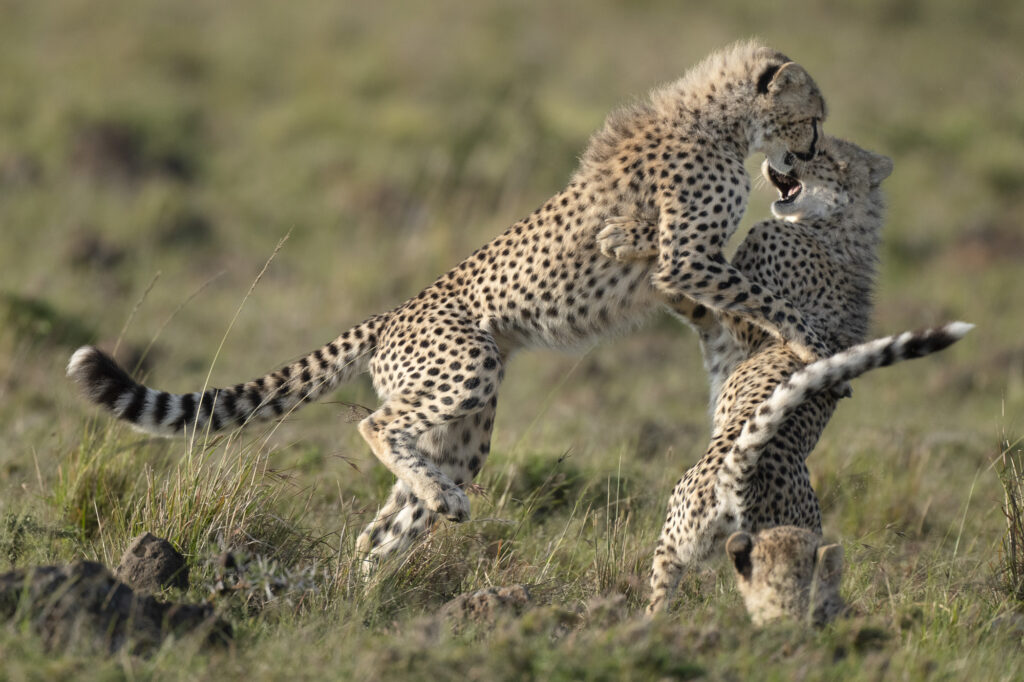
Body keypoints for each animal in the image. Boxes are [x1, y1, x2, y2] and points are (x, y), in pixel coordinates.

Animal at [67, 40, 829, 565]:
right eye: (813, 117)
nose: (813, 154)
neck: (721, 122)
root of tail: (391, 315)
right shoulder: (685, 256)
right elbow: (753, 294)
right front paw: (811, 341)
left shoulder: (678, 274)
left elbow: (725, 311)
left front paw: (749, 366)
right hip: (465, 370)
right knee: (374, 426)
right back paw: (419, 520)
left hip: (462, 431)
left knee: (384, 524)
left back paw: (373, 588)